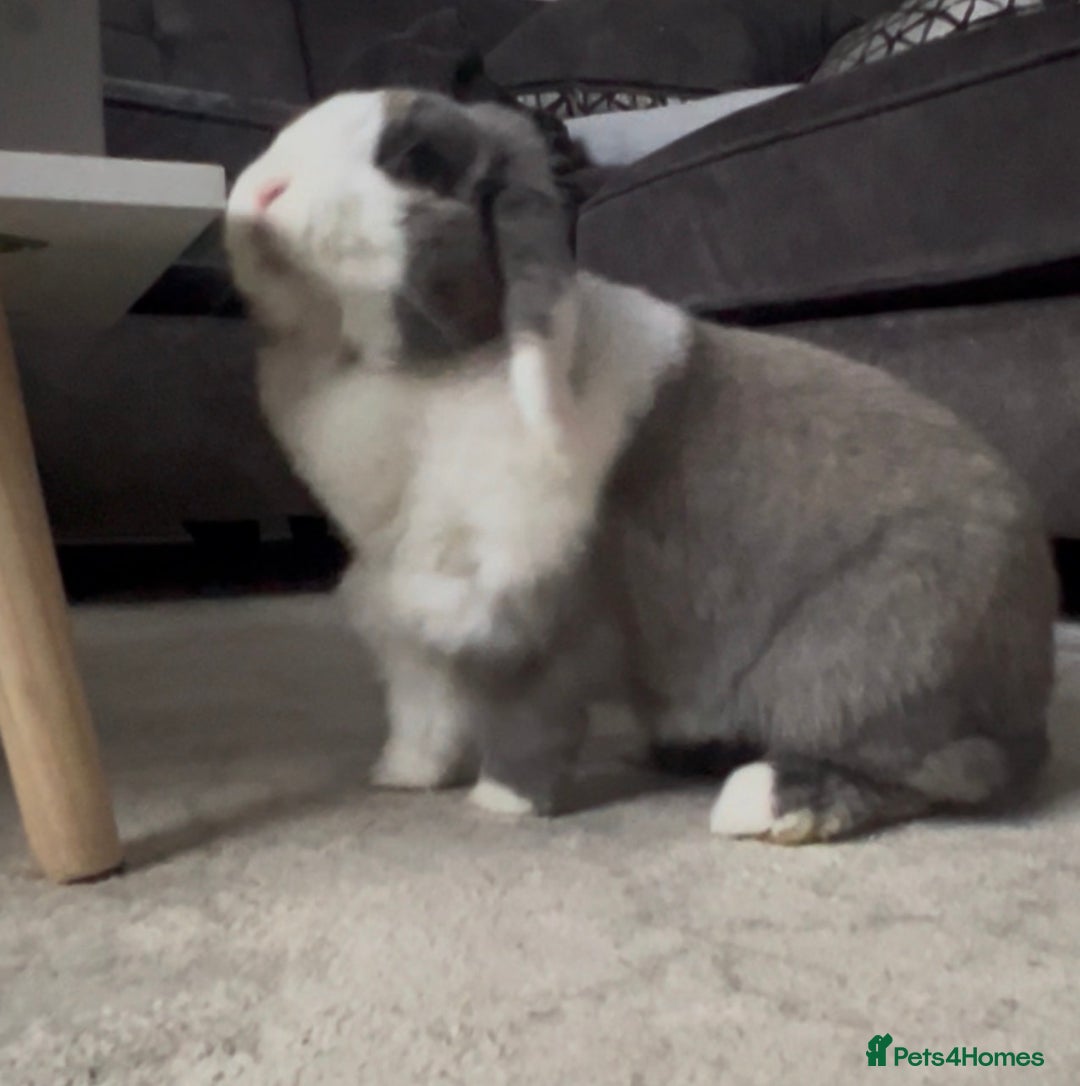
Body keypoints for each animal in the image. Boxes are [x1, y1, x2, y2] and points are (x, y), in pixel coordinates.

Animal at [224, 89, 1057, 843]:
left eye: (417, 162)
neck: (426, 373)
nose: (260, 190)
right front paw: (401, 779)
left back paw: (763, 803)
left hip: (859, 666)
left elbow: (529, 717)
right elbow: (424, 709)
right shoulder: (412, 605)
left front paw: (500, 804)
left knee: (943, 771)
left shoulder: (542, 610)